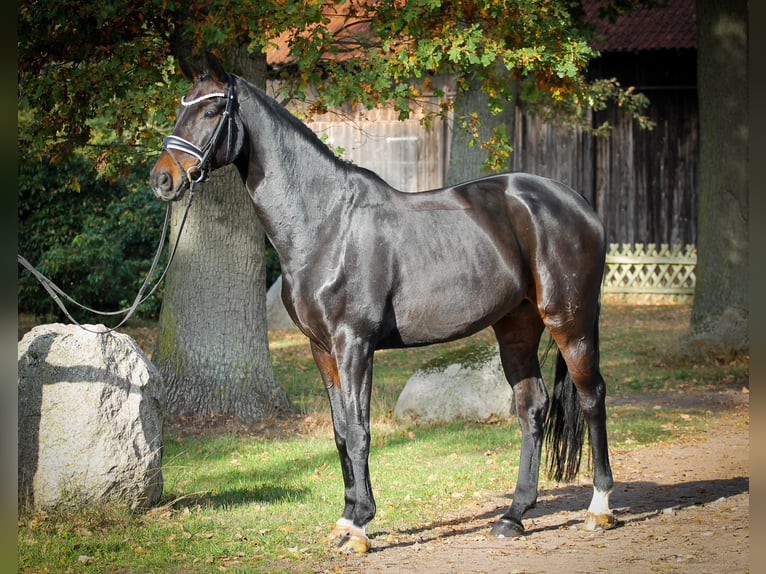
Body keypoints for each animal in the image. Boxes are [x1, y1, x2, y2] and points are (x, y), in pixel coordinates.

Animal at [150, 55, 616, 560]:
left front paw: (359, 527)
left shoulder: (354, 344)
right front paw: (345, 519)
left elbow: (359, 431)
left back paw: (599, 508)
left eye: (212, 110)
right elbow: (339, 432)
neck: (326, 223)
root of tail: (578, 204)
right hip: (517, 326)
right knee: (532, 408)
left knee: (592, 398)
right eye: (181, 107)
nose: (162, 179)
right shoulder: (322, 349)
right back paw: (513, 516)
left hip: (570, 321)